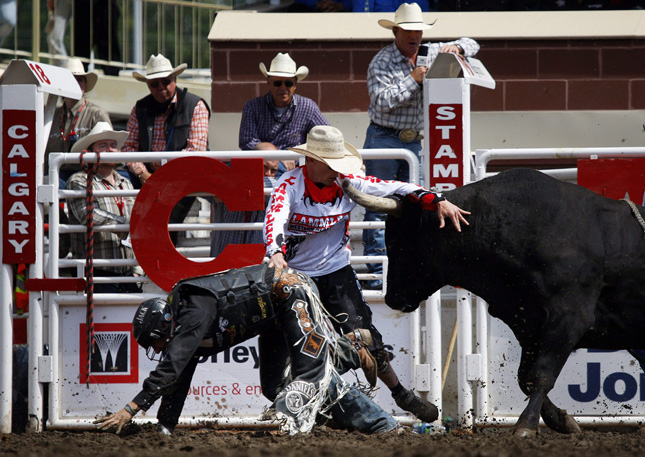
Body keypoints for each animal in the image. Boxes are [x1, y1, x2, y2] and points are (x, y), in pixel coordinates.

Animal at [343, 168, 645, 437]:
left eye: (397, 242)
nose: (391, 297)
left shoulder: (569, 317)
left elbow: (541, 373)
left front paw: (526, 425)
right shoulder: (528, 324)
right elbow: (525, 377)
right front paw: (561, 420)